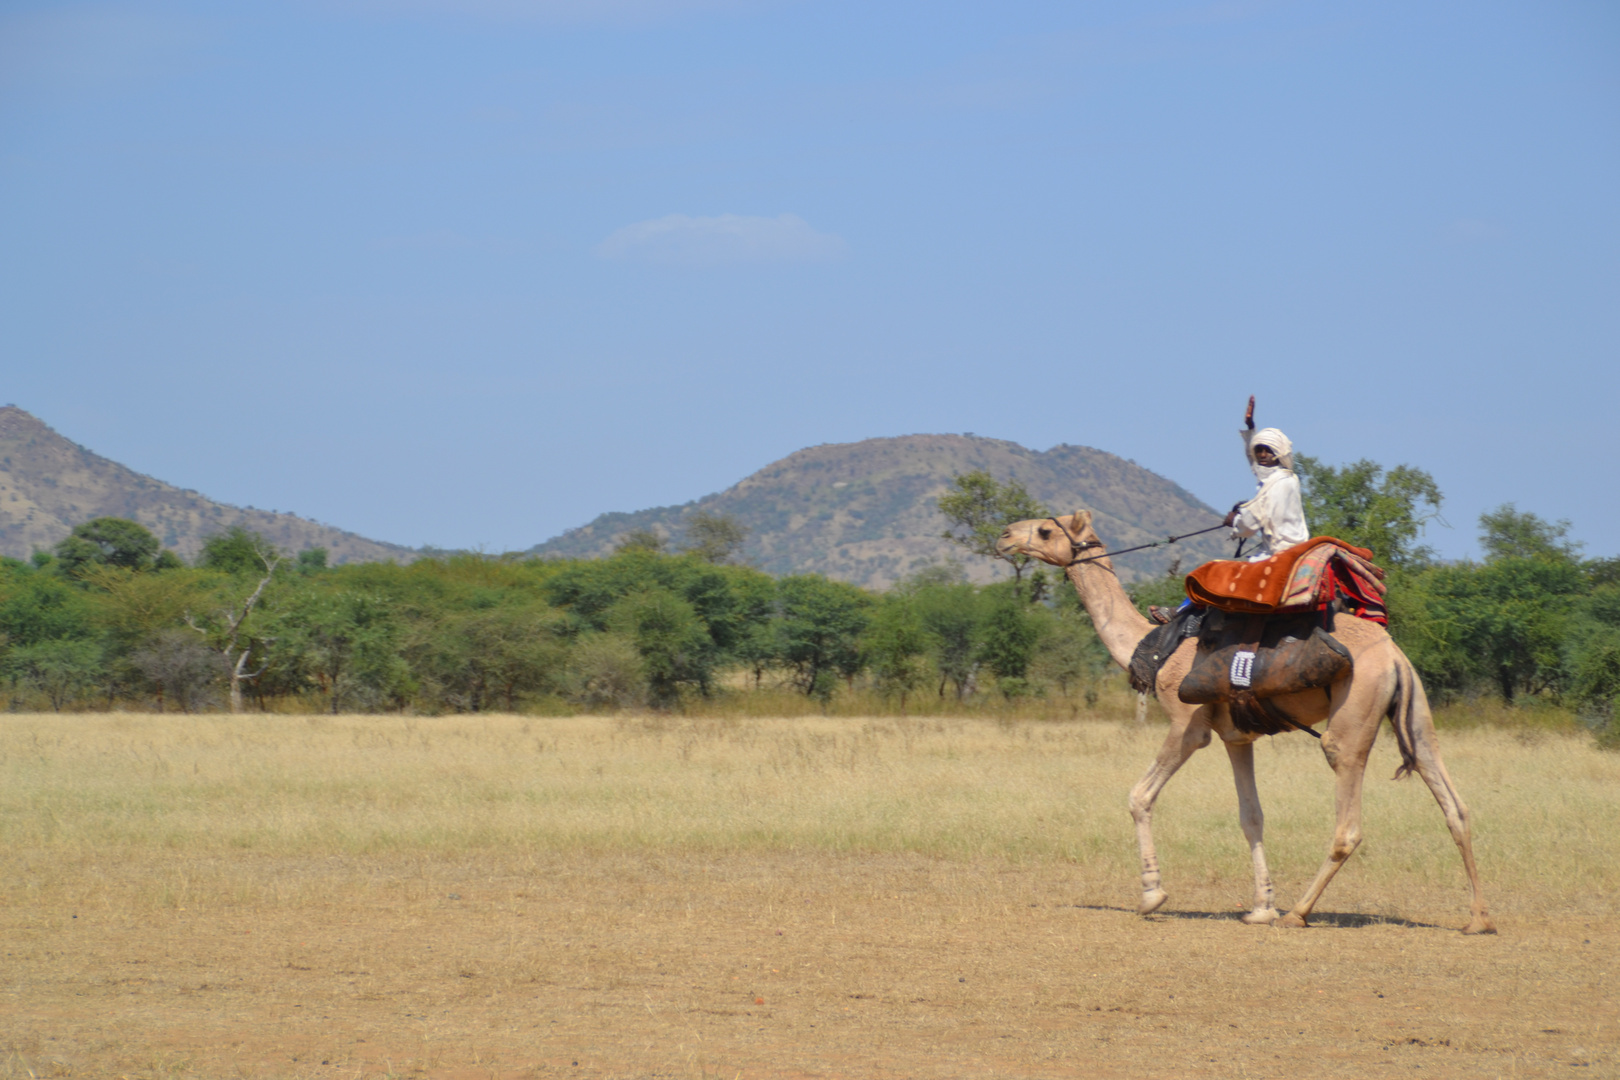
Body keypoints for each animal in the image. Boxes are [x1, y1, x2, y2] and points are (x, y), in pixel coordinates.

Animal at [997, 511, 1490, 932]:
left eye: (1045, 530)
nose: (1004, 536)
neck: (1154, 647)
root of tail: (1394, 658)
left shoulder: (1188, 725)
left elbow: (1139, 797)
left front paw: (1152, 895)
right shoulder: (1237, 737)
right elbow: (1251, 816)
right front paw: (1260, 907)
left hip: (1353, 715)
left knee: (1347, 822)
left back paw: (1299, 913)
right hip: (1415, 712)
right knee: (1454, 803)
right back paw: (1478, 919)